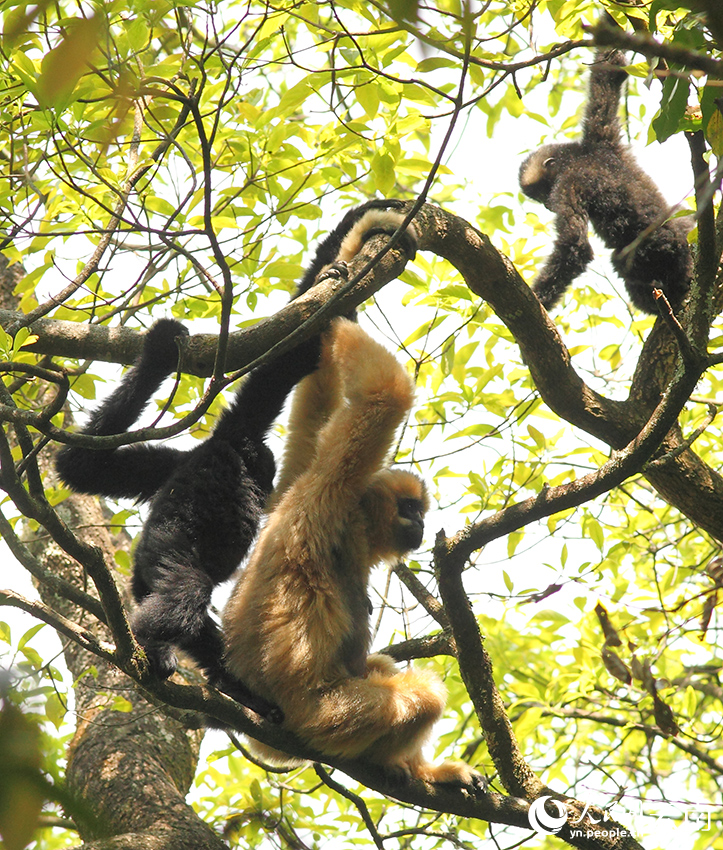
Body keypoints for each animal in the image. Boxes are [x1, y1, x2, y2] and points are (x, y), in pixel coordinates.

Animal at [55, 199, 418, 718]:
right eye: (260, 476)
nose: (264, 487)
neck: (233, 451)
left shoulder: (177, 458)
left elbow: (79, 466)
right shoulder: (240, 429)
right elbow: (288, 360)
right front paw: (348, 256)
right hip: (174, 560)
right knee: (183, 601)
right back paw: (154, 646)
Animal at [223, 319, 480, 785]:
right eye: (409, 509)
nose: (421, 524)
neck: (352, 529)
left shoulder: (296, 489)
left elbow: (309, 432)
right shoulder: (331, 485)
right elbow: (384, 395)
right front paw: (331, 307)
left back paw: (422, 770)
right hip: (324, 717)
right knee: (422, 695)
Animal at [518, 48, 693, 315]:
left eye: (543, 195)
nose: (547, 206)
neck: (582, 156)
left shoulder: (568, 183)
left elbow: (574, 246)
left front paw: (539, 299)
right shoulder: (601, 135)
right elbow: (608, 72)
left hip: (661, 252)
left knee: (620, 258)